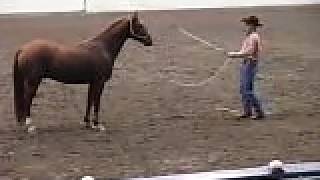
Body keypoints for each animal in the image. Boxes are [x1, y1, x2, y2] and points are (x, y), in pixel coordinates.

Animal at [14, 11, 154, 129]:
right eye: (140, 25)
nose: (150, 41)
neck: (103, 48)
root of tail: (23, 48)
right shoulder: (99, 82)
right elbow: (96, 101)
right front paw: (97, 124)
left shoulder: (92, 82)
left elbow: (89, 100)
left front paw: (87, 123)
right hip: (33, 81)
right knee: (27, 98)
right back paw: (29, 125)